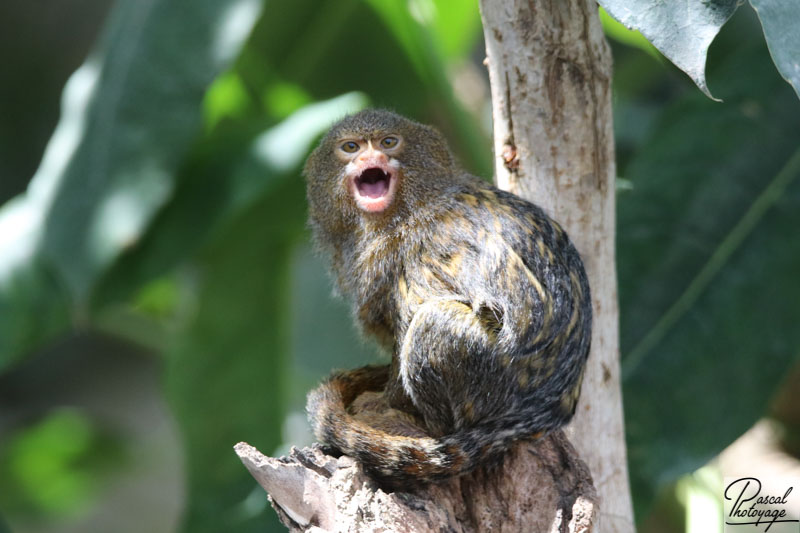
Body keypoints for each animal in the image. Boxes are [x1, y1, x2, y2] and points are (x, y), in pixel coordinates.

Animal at [304, 108, 592, 486]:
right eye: (350, 147)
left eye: (388, 142)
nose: (370, 158)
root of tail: (549, 408)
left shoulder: (417, 253)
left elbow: (412, 322)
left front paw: (384, 406)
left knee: (433, 322)